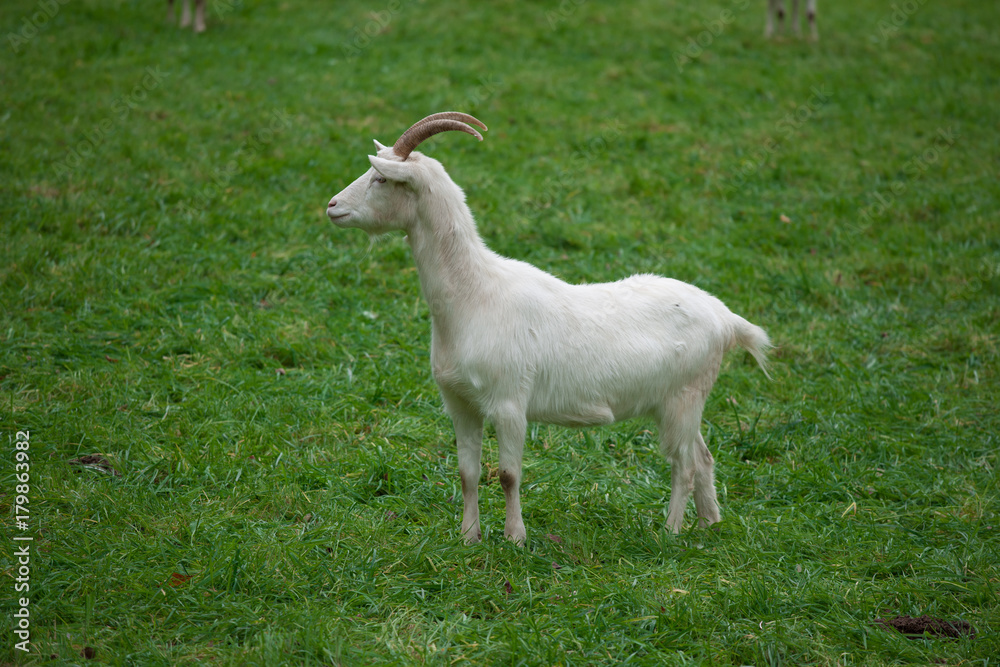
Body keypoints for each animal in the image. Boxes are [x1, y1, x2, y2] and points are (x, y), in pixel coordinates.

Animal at [326, 112, 771, 546]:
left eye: (381, 178)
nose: (332, 206)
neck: (475, 295)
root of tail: (725, 317)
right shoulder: (459, 402)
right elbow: (468, 473)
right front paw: (469, 537)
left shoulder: (509, 403)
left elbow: (508, 475)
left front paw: (515, 539)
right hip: (677, 402)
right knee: (703, 456)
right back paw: (709, 524)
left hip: (683, 397)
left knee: (683, 464)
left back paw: (671, 531)